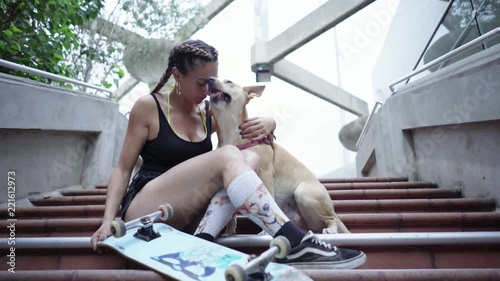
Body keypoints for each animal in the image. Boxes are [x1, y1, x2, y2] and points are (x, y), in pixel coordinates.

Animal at [209, 77, 350, 233]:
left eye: (229, 81)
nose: (210, 79)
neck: (232, 136)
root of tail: (333, 210)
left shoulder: (265, 174)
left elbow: (267, 200)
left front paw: (263, 231)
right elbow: (230, 215)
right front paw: (229, 231)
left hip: (304, 193)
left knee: (331, 220)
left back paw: (331, 229)